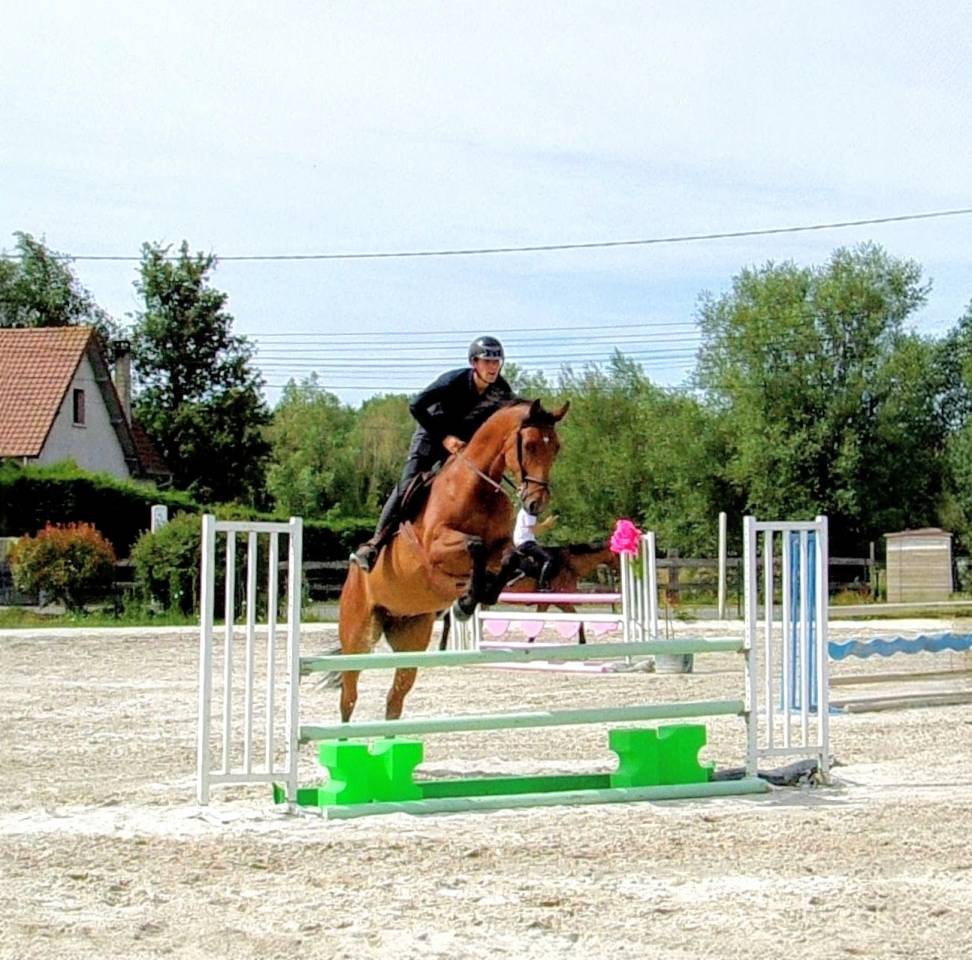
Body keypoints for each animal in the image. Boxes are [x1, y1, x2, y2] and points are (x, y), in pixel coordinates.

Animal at [335, 398, 568, 723]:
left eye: (556, 447)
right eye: (531, 445)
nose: (536, 503)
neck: (477, 487)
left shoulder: (501, 546)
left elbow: (509, 556)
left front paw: (476, 596)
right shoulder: (436, 547)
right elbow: (475, 545)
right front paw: (467, 601)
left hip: (411, 636)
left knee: (395, 697)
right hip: (357, 636)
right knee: (349, 697)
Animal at [438, 540, 620, 648]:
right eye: (618, 555)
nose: (619, 572)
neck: (568, 564)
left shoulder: (547, 603)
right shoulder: (559, 601)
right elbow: (576, 619)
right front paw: (582, 642)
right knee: (449, 618)